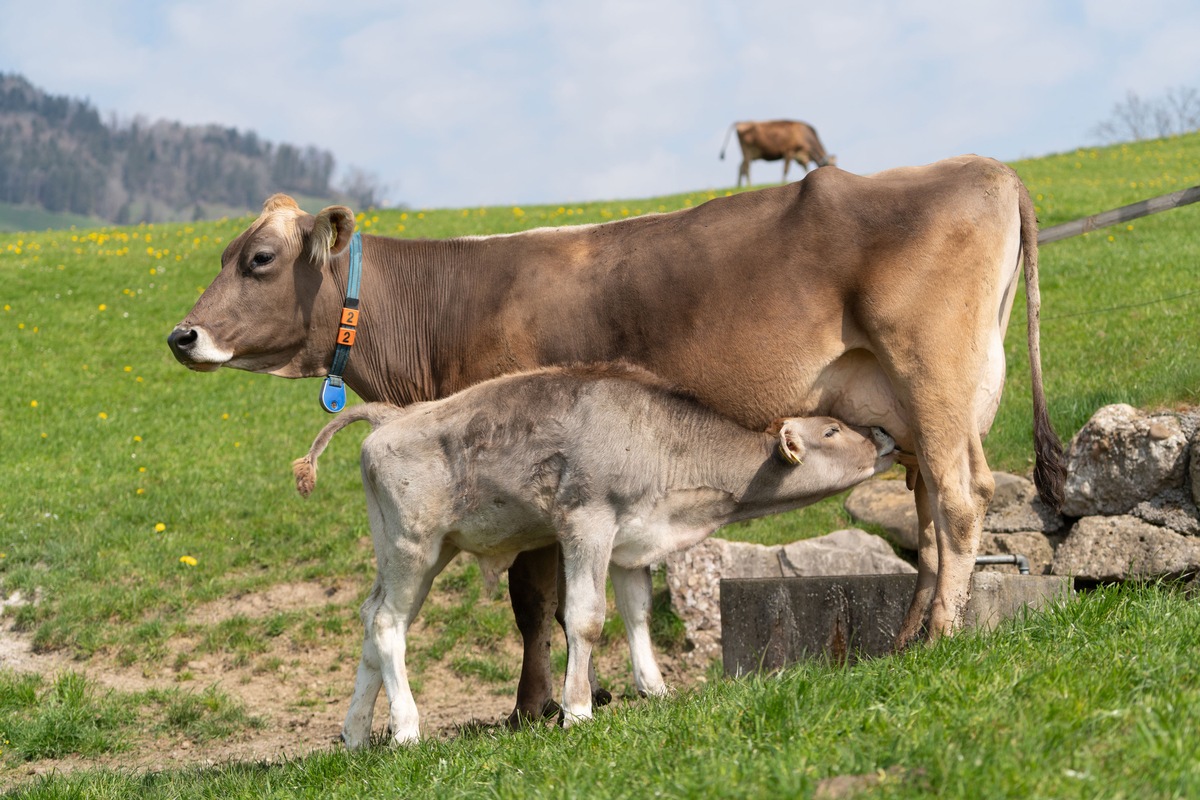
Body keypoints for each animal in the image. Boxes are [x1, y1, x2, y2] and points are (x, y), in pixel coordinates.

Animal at [169, 151, 1070, 734]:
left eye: (258, 259)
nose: (181, 336)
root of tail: (987, 167)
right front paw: (582, 695)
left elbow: (536, 598)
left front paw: (541, 705)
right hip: (915, 413)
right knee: (930, 516)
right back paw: (907, 636)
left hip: (937, 382)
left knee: (961, 500)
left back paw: (942, 635)